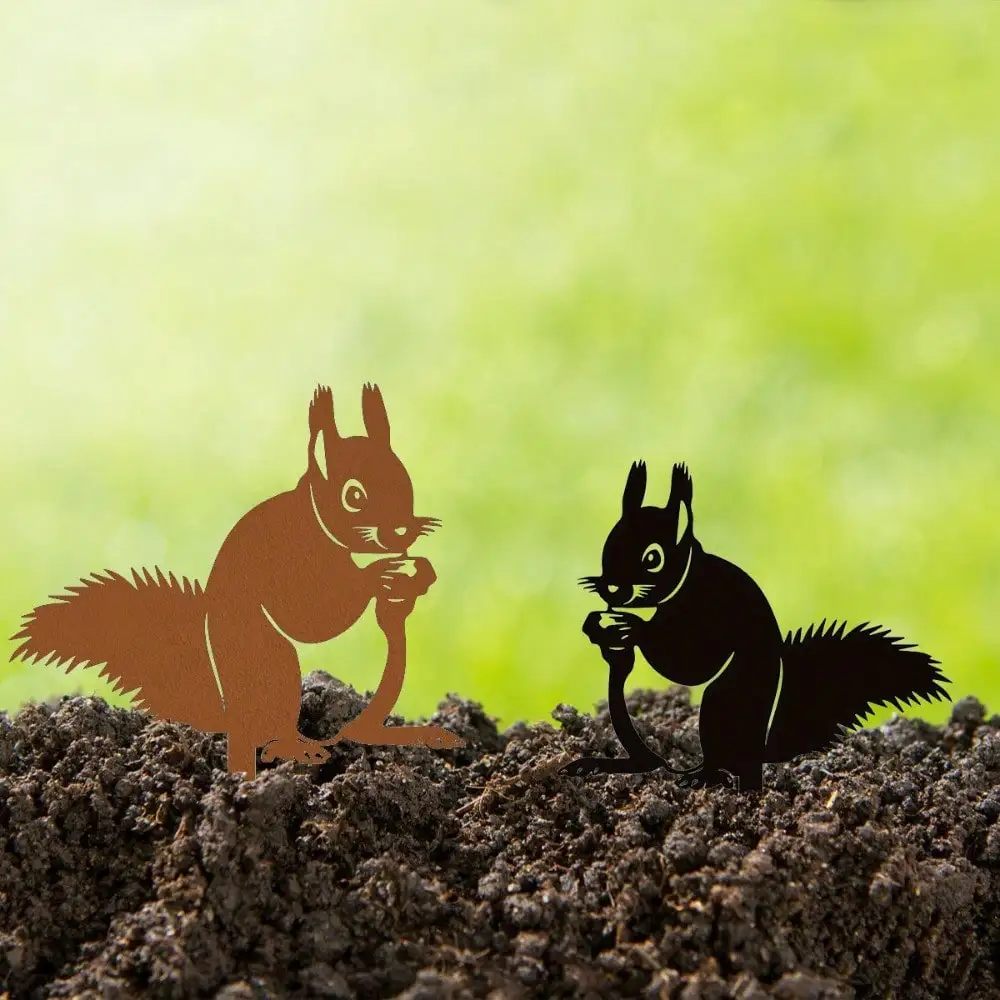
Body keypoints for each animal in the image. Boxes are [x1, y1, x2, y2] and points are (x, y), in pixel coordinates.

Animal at [9, 383, 465, 779]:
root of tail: (230, 714)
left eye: (405, 481)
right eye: (354, 496)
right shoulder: (289, 556)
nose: (401, 532)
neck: (313, 517)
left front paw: (415, 575)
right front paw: (379, 575)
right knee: (265, 739)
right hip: (270, 663)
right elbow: (311, 617)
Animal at [563, 460, 950, 792]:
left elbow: (689, 664)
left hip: (723, 703)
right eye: (609, 544)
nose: (612, 589)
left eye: (652, 558)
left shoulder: (711, 608)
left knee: (734, 765)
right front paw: (597, 625)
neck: (686, 579)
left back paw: (710, 779)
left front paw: (631, 626)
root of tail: (761, 748)